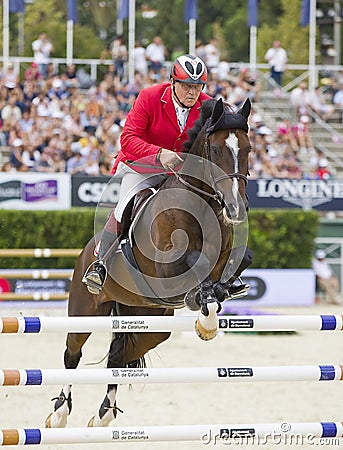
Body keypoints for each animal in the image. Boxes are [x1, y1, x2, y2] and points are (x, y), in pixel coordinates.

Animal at [45, 96, 253, 428]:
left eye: (247, 149)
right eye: (216, 150)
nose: (236, 208)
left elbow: (239, 260)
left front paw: (213, 302)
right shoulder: (165, 265)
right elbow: (194, 263)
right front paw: (206, 317)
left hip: (151, 323)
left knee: (118, 355)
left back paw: (103, 416)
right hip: (84, 309)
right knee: (72, 353)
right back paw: (60, 413)